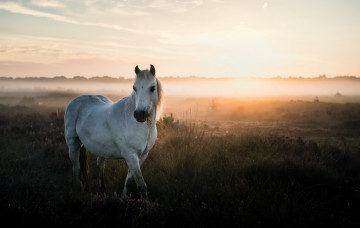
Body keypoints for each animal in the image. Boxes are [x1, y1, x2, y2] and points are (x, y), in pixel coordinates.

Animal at [64, 64, 162, 200]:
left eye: (152, 88)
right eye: (134, 88)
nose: (139, 114)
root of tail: (76, 101)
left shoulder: (142, 156)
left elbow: (129, 180)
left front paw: (123, 197)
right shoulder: (131, 155)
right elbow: (141, 185)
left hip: (100, 149)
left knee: (100, 165)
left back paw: (102, 190)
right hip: (73, 145)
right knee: (76, 168)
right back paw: (77, 191)